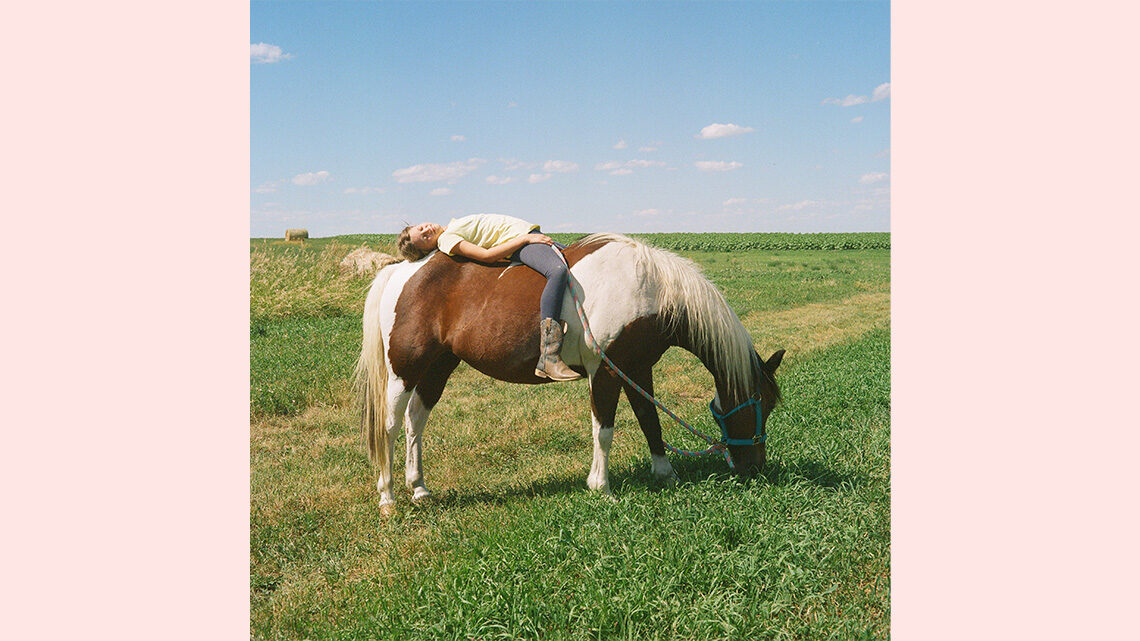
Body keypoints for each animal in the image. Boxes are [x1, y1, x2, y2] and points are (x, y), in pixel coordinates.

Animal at [355, 233, 784, 515]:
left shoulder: (637, 368)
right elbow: (604, 430)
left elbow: (650, 420)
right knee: (390, 425)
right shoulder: (605, 372)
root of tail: (400, 271)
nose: (756, 466)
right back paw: (388, 497)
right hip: (405, 368)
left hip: (440, 364)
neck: (649, 290)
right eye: (761, 404)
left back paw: (419, 488)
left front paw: (665, 473)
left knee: (416, 419)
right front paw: (601, 487)